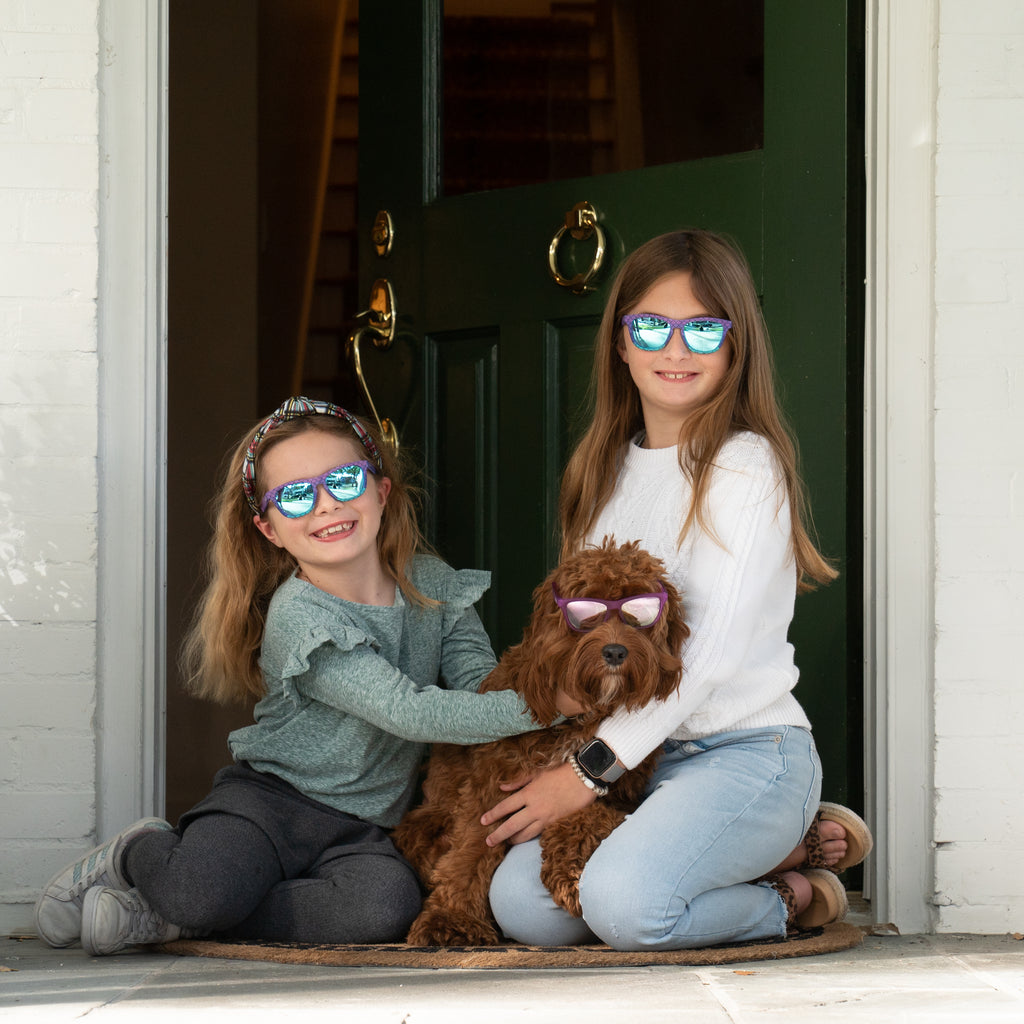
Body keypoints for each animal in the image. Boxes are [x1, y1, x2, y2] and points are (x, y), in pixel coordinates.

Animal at [391, 540, 688, 946]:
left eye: (637, 611)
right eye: (584, 612)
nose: (615, 652)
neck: (583, 717)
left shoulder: (612, 791)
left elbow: (587, 812)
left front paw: (571, 872)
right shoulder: (491, 785)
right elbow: (471, 849)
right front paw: (451, 919)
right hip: (426, 821)